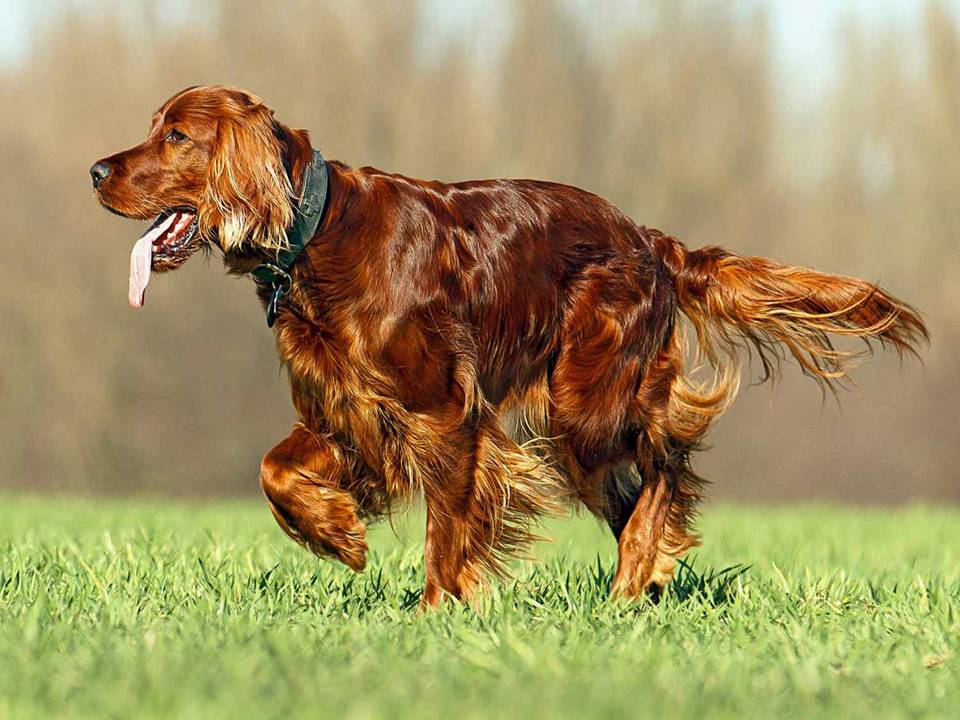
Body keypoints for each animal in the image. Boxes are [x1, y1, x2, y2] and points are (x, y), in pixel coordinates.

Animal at [90, 86, 924, 608]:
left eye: (177, 135)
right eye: (155, 126)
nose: (96, 169)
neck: (317, 232)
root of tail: (651, 240)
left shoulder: (445, 413)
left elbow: (448, 524)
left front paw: (437, 608)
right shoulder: (345, 413)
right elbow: (274, 471)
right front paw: (338, 536)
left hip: (584, 404)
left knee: (665, 462)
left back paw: (631, 581)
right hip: (576, 420)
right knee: (640, 486)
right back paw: (648, 574)